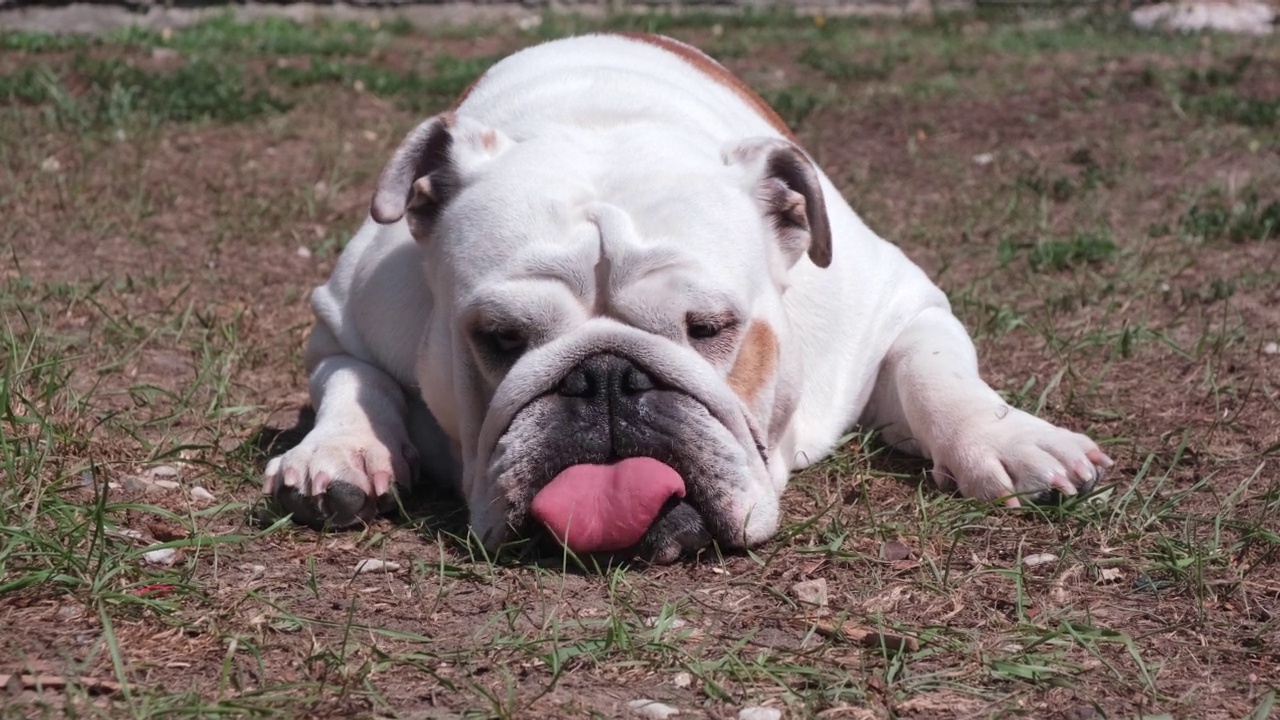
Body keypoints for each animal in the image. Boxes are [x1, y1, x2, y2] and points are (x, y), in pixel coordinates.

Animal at [262, 33, 1111, 561]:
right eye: (499, 338)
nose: (604, 377)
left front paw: (1006, 439)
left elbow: (936, 371)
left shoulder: (898, 301)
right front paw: (342, 452)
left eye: (710, 328)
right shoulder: (343, 321)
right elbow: (353, 377)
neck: (598, 118)